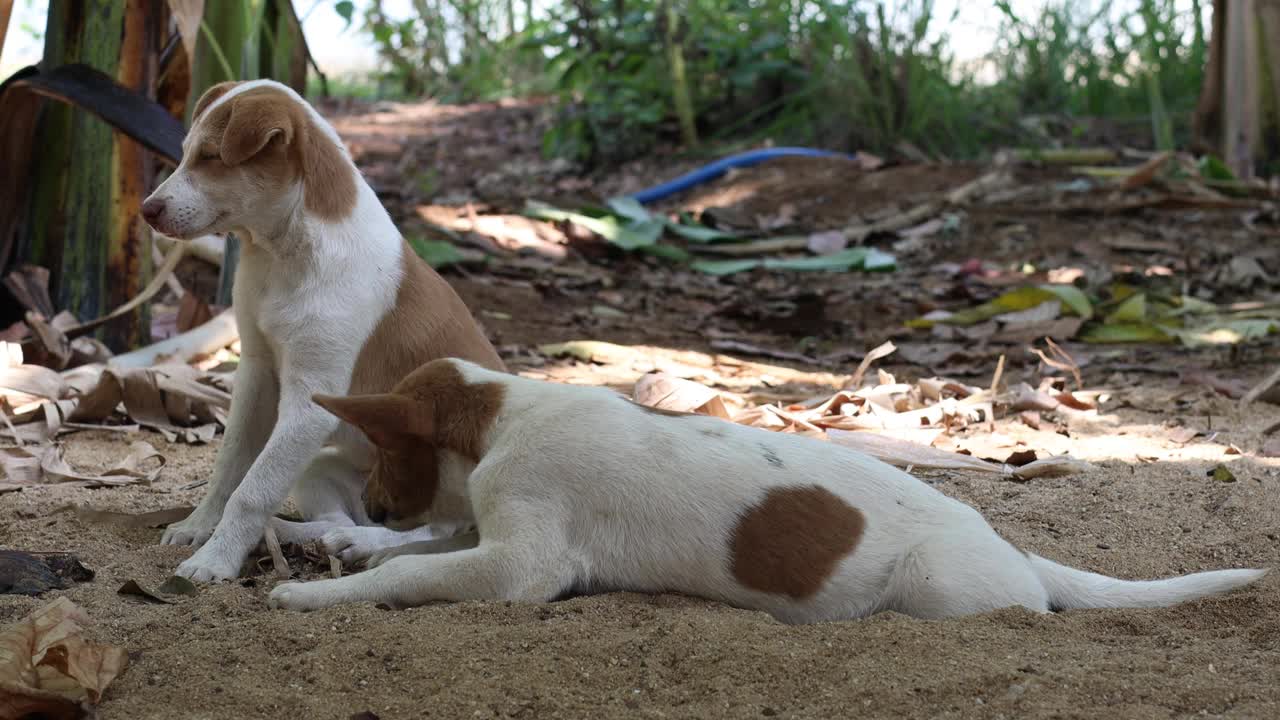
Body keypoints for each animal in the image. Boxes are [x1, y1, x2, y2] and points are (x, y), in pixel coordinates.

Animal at [140, 81, 499, 579]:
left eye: (211, 156)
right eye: (186, 154)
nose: (146, 211)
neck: (281, 254)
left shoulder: (309, 405)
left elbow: (251, 491)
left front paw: (215, 559)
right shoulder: (256, 373)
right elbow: (230, 467)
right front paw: (199, 527)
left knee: (431, 532)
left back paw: (360, 543)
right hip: (321, 466)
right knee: (337, 519)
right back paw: (300, 535)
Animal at [264, 361, 1264, 620]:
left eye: (383, 451)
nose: (374, 504)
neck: (502, 415)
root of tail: (1013, 549)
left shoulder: (523, 560)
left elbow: (417, 569)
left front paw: (314, 593)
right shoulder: (490, 530)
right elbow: (427, 544)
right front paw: (351, 544)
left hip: (940, 589)